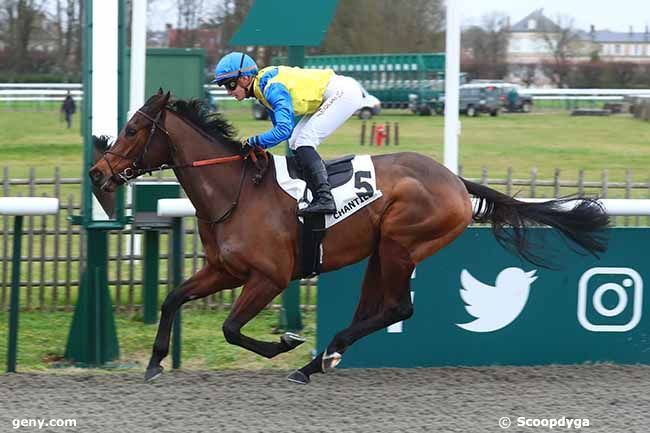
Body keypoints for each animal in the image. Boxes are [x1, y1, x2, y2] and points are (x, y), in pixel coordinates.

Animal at [87, 89, 608, 384]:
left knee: (397, 308)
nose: (97, 173)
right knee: (373, 310)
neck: (234, 191)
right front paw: (155, 363)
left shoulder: (269, 278)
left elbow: (231, 329)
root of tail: (457, 183)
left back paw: (313, 361)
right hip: (381, 251)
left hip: (401, 244)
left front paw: (285, 342)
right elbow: (173, 298)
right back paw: (323, 359)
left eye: (133, 129)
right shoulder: (223, 270)